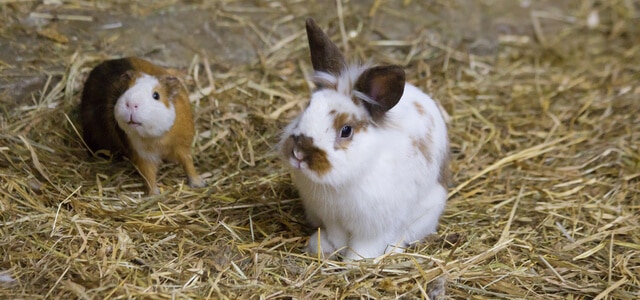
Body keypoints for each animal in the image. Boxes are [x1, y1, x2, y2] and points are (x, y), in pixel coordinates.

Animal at [278, 18, 448, 262]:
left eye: (346, 130)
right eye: (307, 107)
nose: (299, 154)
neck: (340, 183)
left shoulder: (375, 227)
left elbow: (364, 247)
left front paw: (352, 263)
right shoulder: (331, 217)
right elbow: (338, 237)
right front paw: (331, 249)